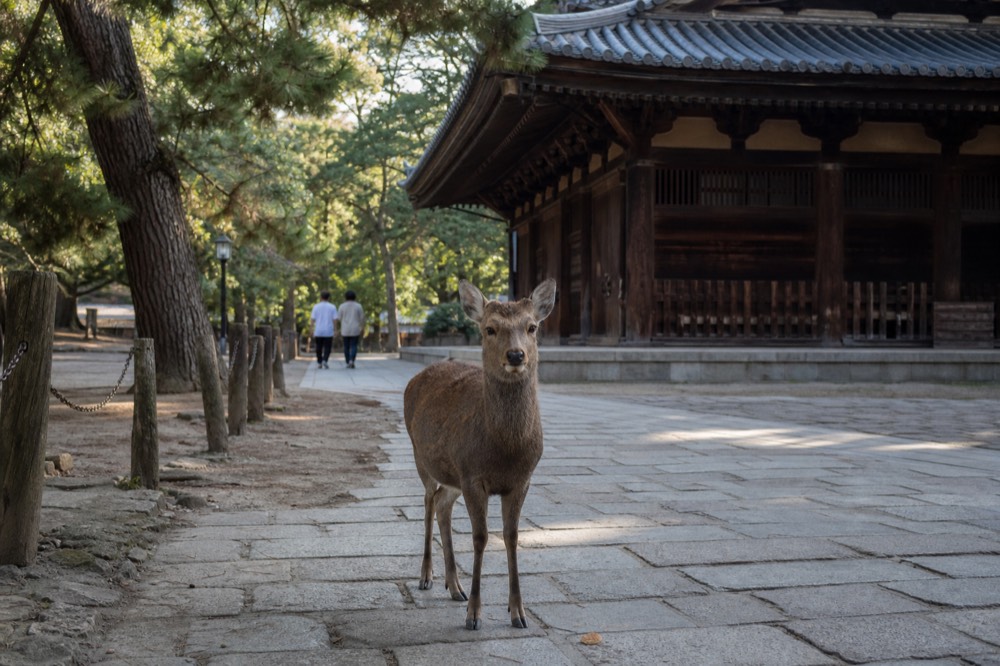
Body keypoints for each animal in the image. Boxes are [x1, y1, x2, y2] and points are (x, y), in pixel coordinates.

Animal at [403, 278, 557, 630]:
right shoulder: (473, 475)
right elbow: (480, 537)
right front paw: (474, 614)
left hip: (453, 475)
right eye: (490, 329)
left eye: (531, 327)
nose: (516, 355)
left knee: (443, 504)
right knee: (429, 501)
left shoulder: (522, 480)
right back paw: (427, 577)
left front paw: (518, 612)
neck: (505, 451)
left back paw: (454, 586)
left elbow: (511, 536)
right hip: (421, 457)